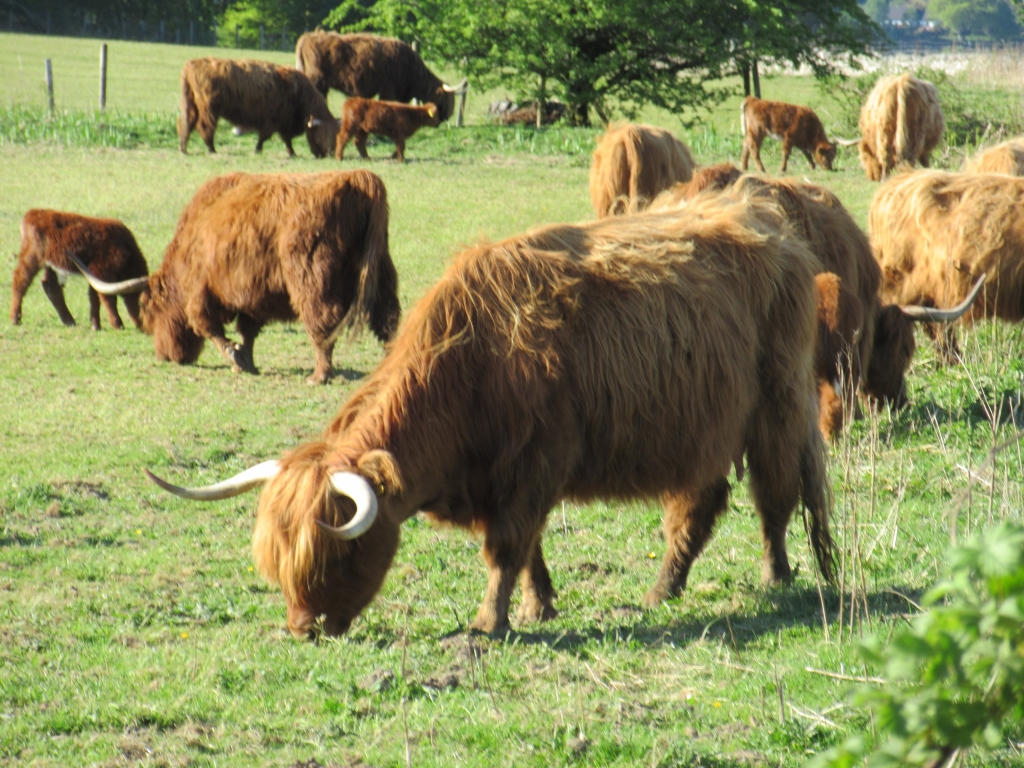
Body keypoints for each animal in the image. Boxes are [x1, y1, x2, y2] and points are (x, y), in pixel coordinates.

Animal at [10, 209, 148, 331]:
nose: (144, 328)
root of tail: (33, 213)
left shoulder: (93, 273)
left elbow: (94, 297)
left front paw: (95, 325)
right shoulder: (102, 271)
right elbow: (108, 298)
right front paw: (117, 325)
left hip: (50, 264)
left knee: (50, 286)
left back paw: (69, 321)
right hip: (31, 258)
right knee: (21, 281)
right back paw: (15, 319)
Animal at [72, 170, 400, 385]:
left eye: (150, 314)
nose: (166, 356)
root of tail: (357, 178)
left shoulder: (202, 293)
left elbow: (209, 326)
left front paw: (235, 358)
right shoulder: (252, 294)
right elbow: (248, 331)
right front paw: (246, 361)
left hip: (311, 280)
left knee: (322, 323)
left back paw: (319, 376)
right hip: (381, 273)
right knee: (387, 320)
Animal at [144, 192, 836, 639]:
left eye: (339, 556)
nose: (303, 629)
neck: (472, 366)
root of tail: (768, 221)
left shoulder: (535, 466)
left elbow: (506, 548)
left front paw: (490, 622)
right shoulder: (505, 478)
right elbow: (528, 551)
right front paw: (538, 607)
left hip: (775, 404)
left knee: (777, 494)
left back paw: (778, 576)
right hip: (699, 428)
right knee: (703, 502)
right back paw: (664, 588)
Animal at [177, 58, 337, 158]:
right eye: (323, 134)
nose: (328, 154)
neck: (298, 91)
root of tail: (192, 64)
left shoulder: (282, 123)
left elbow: (286, 139)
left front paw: (291, 152)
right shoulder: (273, 121)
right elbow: (266, 137)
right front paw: (258, 150)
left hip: (190, 105)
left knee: (185, 123)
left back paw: (184, 149)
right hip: (209, 110)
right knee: (204, 126)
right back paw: (211, 149)